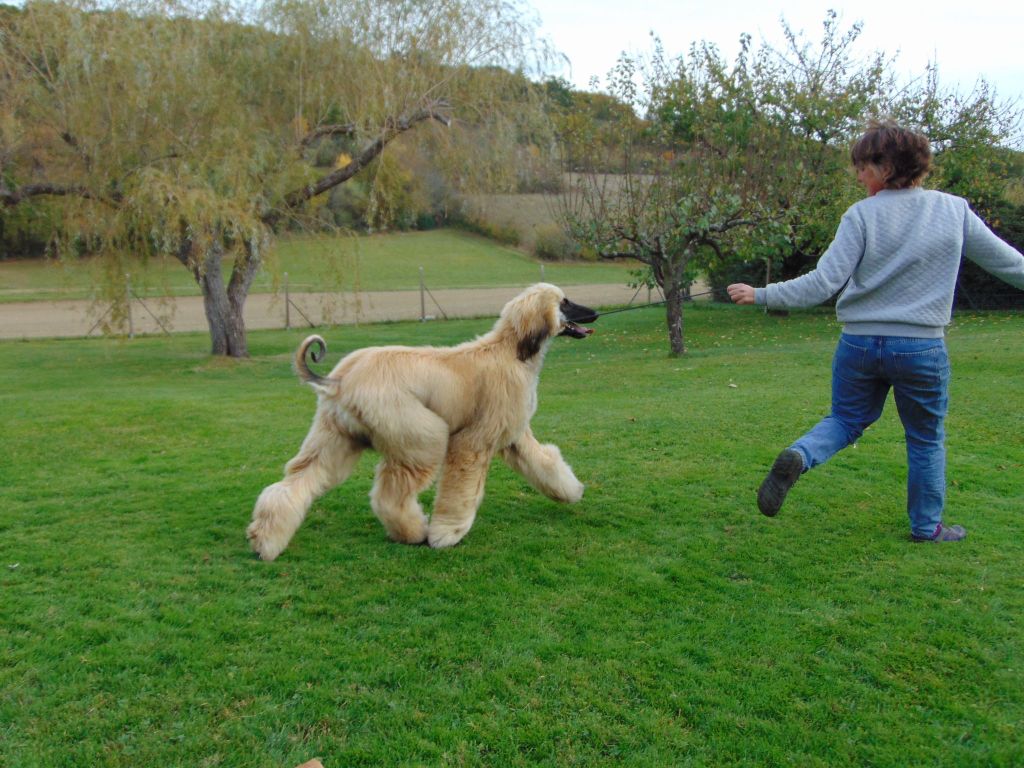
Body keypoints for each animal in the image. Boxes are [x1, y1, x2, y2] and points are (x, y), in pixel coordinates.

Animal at [248, 282, 598, 561]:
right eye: (565, 302)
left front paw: (570, 491)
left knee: (293, 483)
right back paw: (415, 532)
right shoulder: (474, 440)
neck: (511, 352)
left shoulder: (513, 434)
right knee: (390, 496)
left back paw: (264, 542)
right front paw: (448, 533)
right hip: (418, 432)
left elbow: (544, 462)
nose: (594, 314)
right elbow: (463, 489)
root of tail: (340, 380)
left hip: (334, 437)